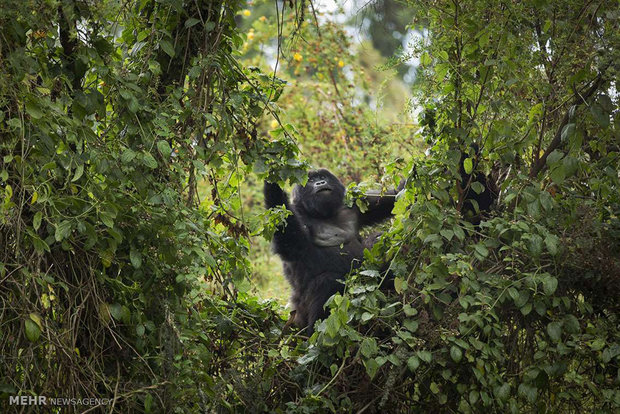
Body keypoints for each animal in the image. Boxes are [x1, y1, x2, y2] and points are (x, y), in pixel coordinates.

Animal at [262, 170, 402, 334]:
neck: (322, 214)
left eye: (323, 177)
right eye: (311, 181)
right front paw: (272, 181)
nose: (320, 183)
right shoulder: (298, 214)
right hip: (299, 313)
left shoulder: (353, 204)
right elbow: (289, 240)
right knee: (327, 283)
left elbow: (393, 199)